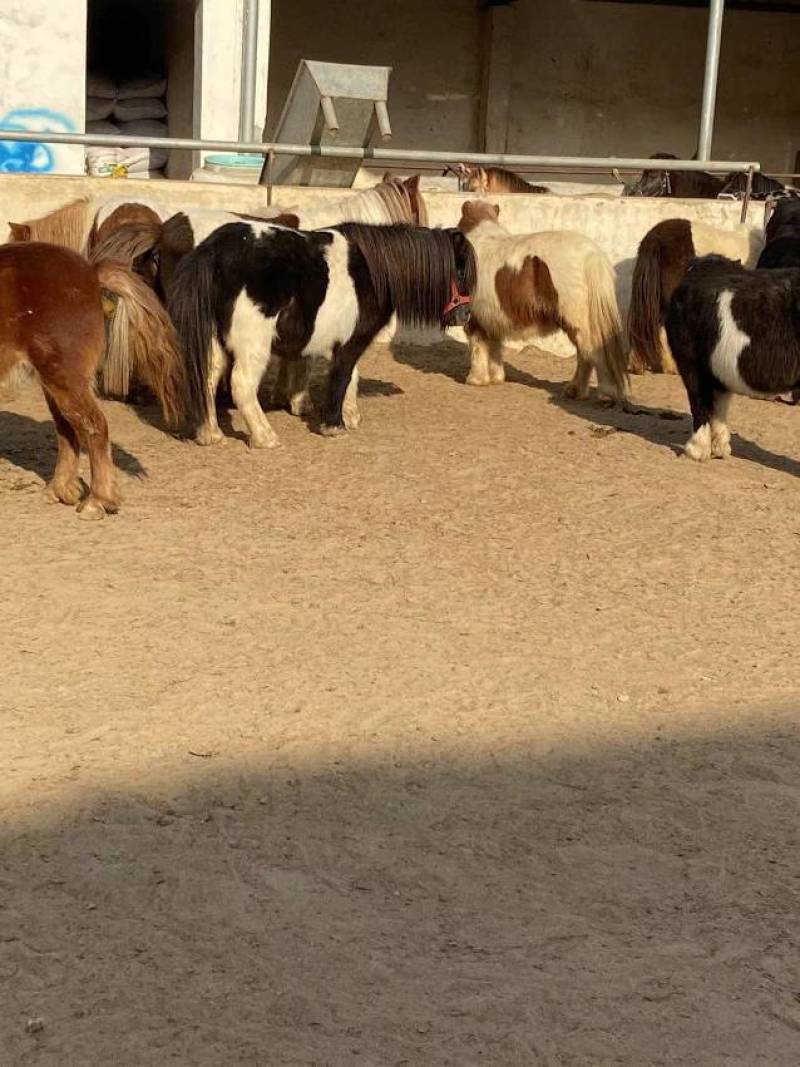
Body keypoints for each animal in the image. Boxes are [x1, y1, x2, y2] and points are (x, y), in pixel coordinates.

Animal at [0, 242, 200, 518]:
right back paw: (61, 490)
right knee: (67, 430)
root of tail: (90, 273)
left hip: (63, 377)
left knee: (94, 426)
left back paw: (97, 500)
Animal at [166, 219, 475, 448]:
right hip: (253, 346)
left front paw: (348, 415)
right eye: (460, 271)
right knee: (241, 386)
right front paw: (334, 425)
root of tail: (213, 251)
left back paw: (210, 434)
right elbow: (341, 377)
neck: (372, 272)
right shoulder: (352, 342)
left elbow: (350, 377)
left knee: (206, 378)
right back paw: (265, 437)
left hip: (215, 340)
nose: (465, 316)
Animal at [456, 200, 628, 402]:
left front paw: (475, 379)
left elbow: (478, 346)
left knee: (592, 351)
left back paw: (605, 394)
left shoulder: (475, 319)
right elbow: (494, 348)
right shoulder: (492, 320)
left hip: (578, 323)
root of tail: (591, 254)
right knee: (585, 354)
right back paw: (575, 391)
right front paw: (496, 378)